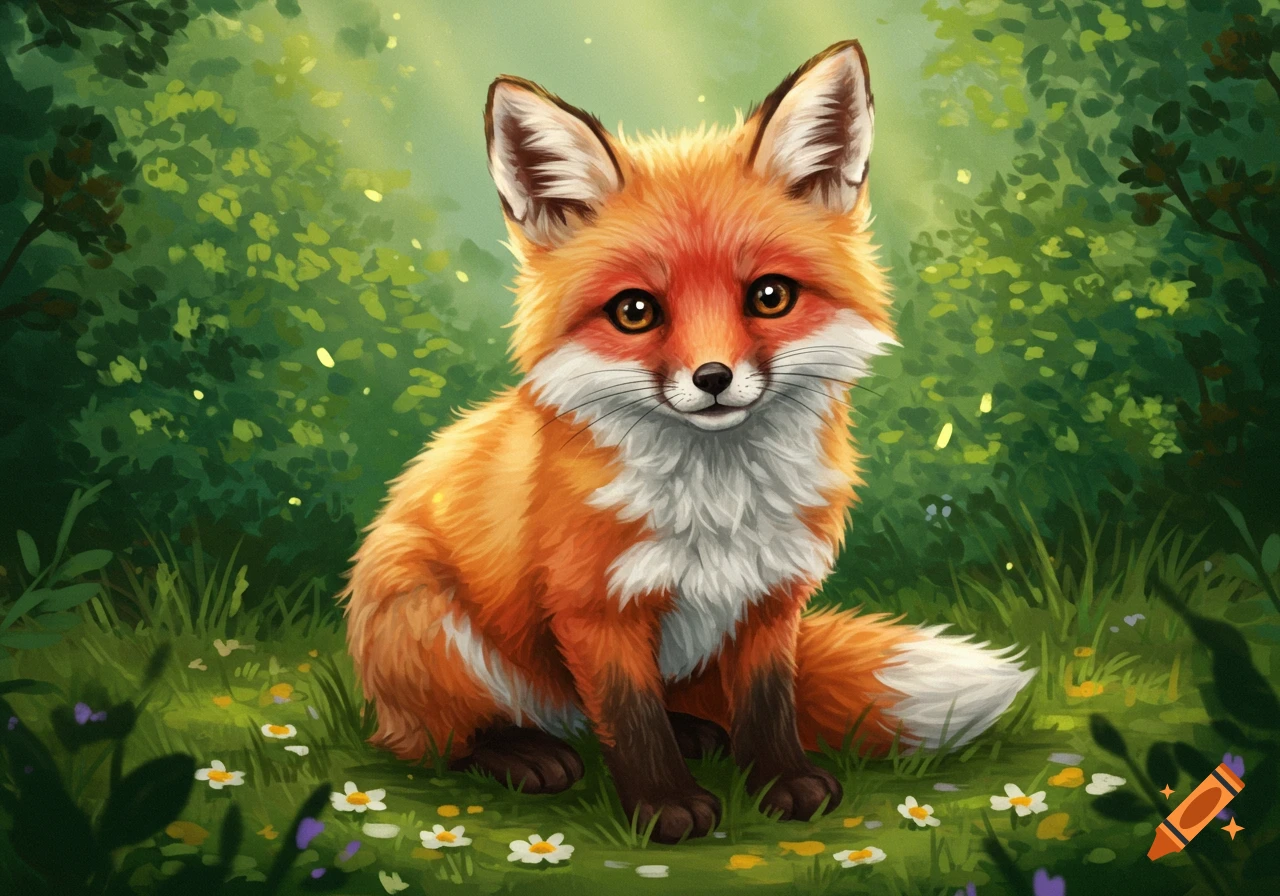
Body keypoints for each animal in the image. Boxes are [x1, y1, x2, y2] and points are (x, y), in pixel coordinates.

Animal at [340, 40, 1034, 844]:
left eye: (770, 296)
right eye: (635, 311)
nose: (713, 378)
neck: (718, 504)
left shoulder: (771, 596)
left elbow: (767, 706)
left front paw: (782, 783)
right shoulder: (595, 609)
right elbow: (630, 719)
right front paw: (665, 807)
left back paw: (698, 734)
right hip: (427, 619)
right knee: (439, 738)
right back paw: (522, 753)